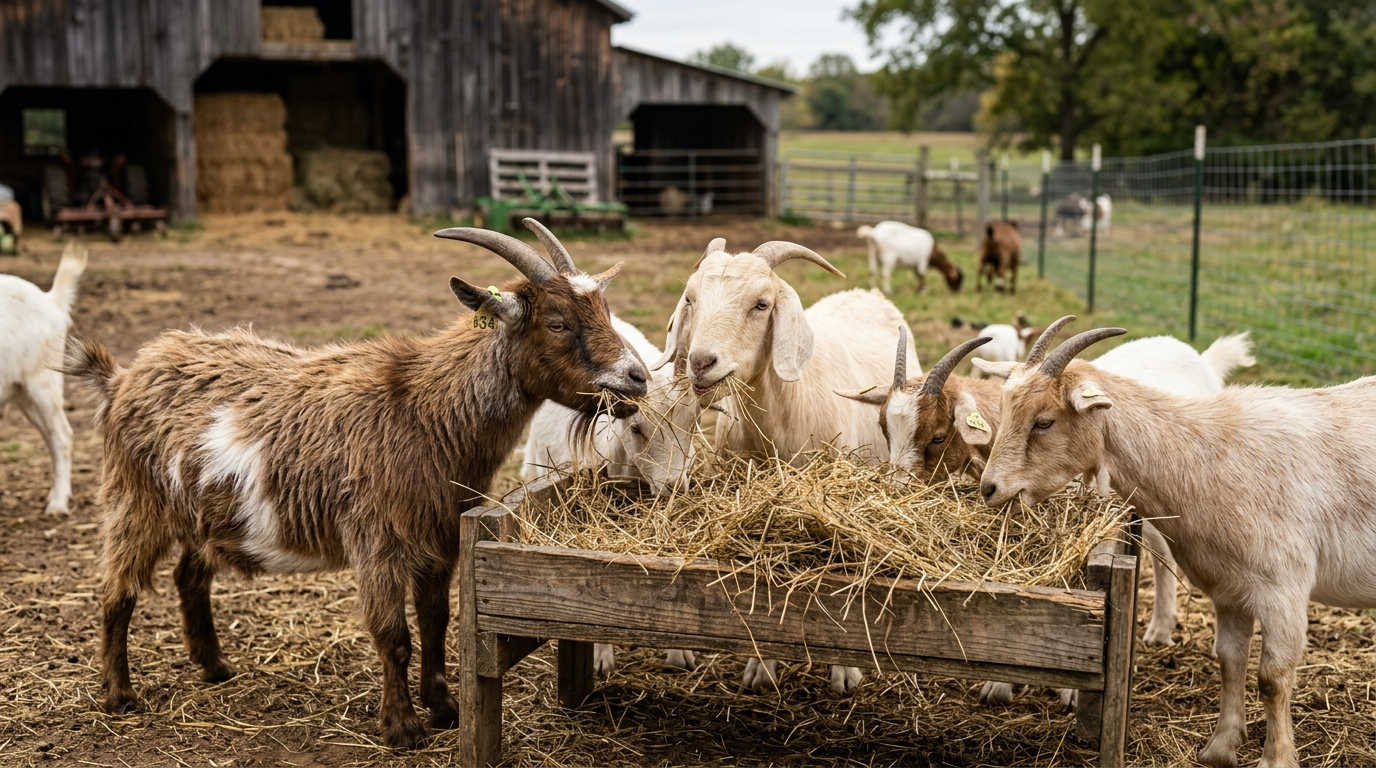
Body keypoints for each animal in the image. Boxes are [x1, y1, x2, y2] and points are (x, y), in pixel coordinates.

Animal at [1, 242, 87, 515]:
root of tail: (51, 300)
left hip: (43, 383)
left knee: (62, 436)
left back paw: (58, 504)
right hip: (21, 392)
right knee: (51, 437)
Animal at [67, 220, 648, 749]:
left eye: (602, 311)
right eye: (556, 321)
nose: (637, 378)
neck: (424, 411)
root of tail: (122, 377)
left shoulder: (438, 538)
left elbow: (435, 621)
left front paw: (444, 707)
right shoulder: (378, 539)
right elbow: (394, 636)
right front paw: (403, 728)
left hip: (202, 512)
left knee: (189, 576)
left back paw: (214, 667)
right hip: (136, 499)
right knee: (117, 590)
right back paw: (120, 695)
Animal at [656, 238, 921, 694]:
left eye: (762, 304)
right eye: (690, 298)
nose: (701, 362)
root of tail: (867, 294)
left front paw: (845, 673)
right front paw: (760, 670)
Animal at [979, 320, 1371, 768]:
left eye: (1044, 421)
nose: (989, 488)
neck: (1207, 454)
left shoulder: (1283, 589)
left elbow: (1272, 678)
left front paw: (1276, 759)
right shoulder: (1230, 587)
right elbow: (1230, 660)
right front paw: (1219, 749)